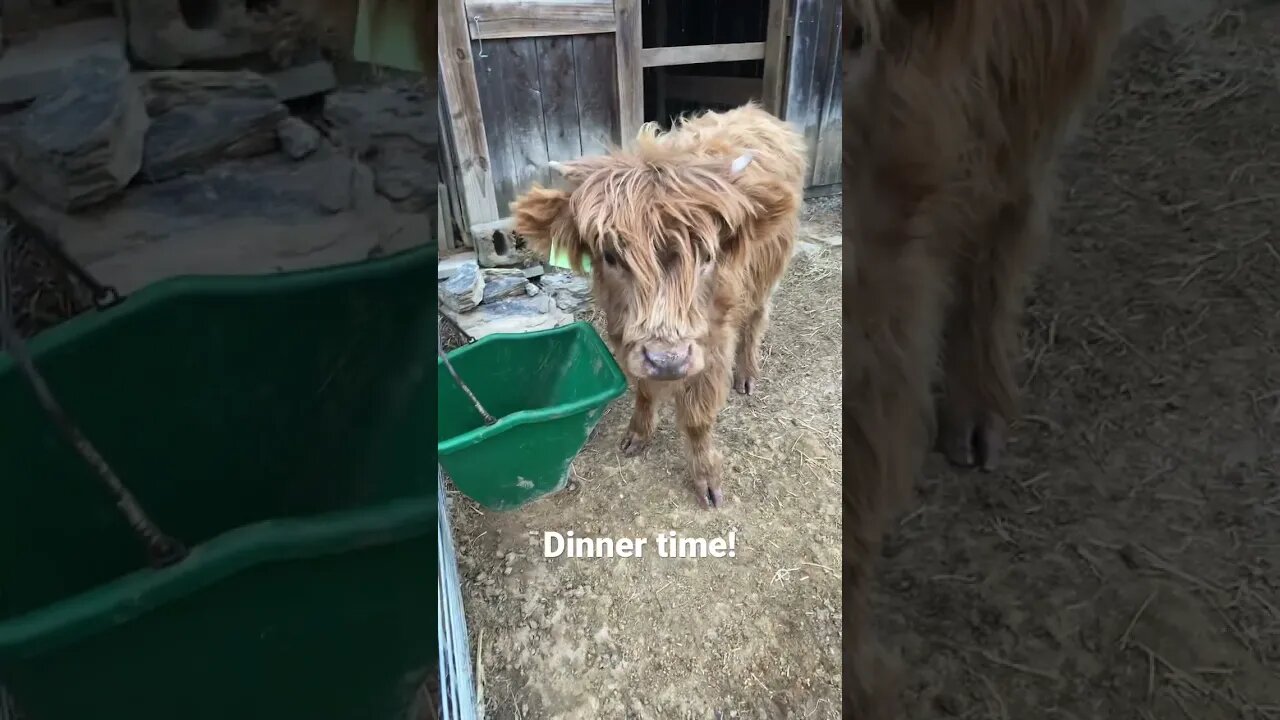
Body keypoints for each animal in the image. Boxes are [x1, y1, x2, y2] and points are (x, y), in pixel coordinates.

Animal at [512, 105, 803, 509]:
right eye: (611, 255)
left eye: (708, 255)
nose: (668, 361)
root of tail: (754, 111)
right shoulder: (625, 336)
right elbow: (645, 391)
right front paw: (637, 434)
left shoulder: (712, 343)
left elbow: (697, 417)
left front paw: (707, 480)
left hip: (768, 275)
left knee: (757, 317)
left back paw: (746, 374)